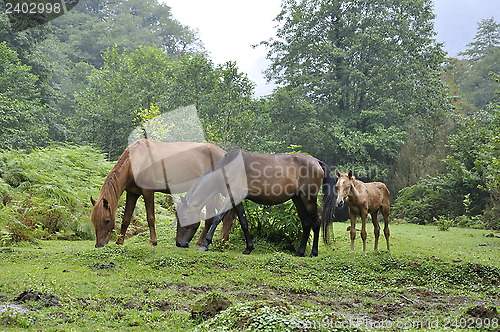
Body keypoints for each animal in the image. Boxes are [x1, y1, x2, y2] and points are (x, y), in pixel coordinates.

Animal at [89, 139, 232, 248]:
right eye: (94, 220)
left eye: (107, 220)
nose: (99, 245)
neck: (136, 161)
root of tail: (224, 153)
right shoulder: (132, 193)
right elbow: (126, 218)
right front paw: (120, 241)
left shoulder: (148, 191)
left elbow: (150, 218)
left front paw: (153, 242)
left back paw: (203, 242)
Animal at [176, 150, 336, 256]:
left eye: (184, 218)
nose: (179, 243)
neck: (228, 167)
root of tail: (316, 161)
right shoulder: (237, 199)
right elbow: (244, 223)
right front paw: (249, 248)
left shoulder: (232, 196)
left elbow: (217, 218)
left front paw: (205, 244)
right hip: (298, 199)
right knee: (306, 224)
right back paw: (300, 252)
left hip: (308, 199)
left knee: (316, 223)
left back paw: (313, 252)